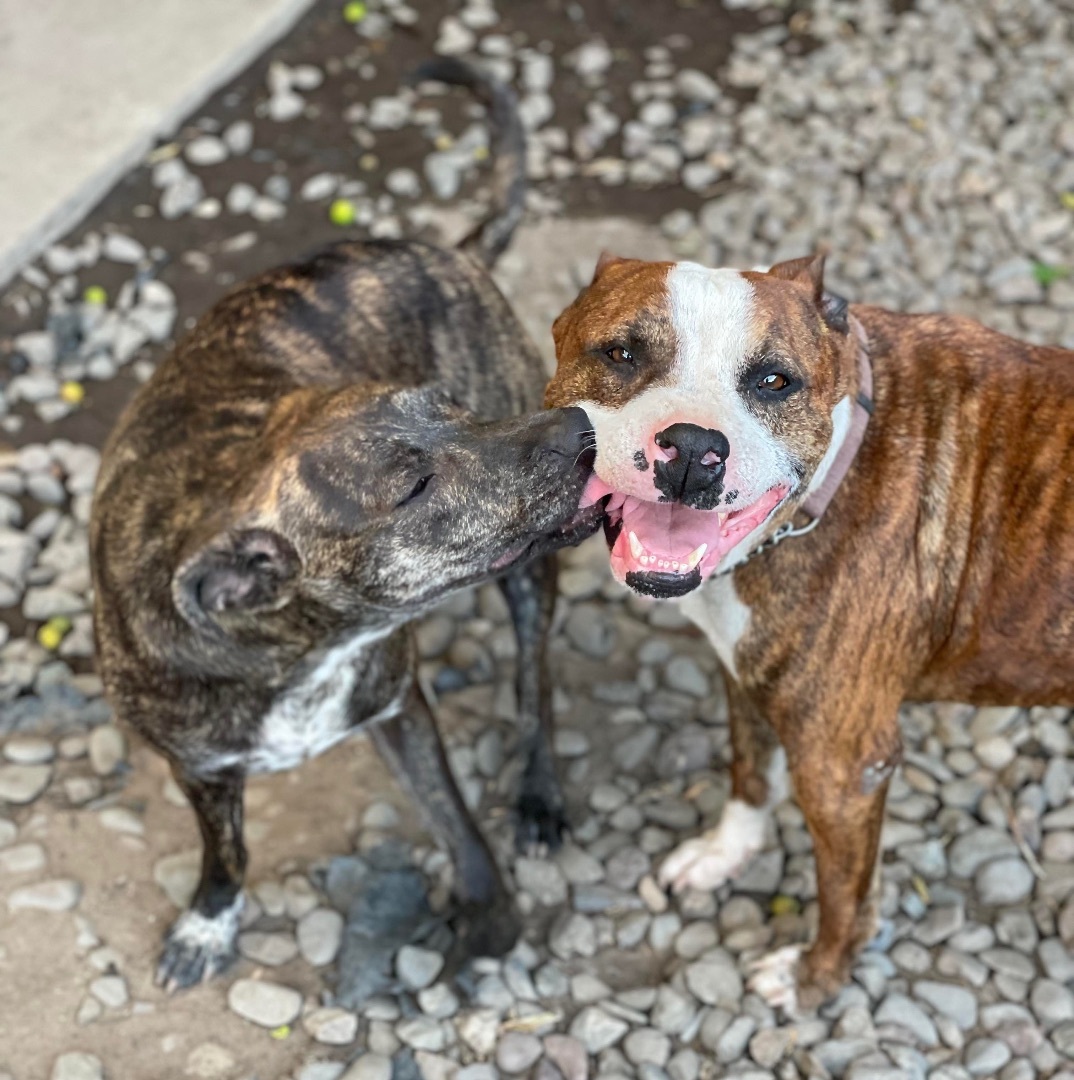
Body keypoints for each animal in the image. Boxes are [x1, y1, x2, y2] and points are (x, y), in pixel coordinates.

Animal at [544, 252, 1071, 1010]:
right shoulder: (743, 670)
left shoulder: (842, 767)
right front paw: (725, 853)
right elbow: (748, 770)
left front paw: (816, 978)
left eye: (774, 381)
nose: (693, 447)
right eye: (621, 354)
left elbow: (843, 893)